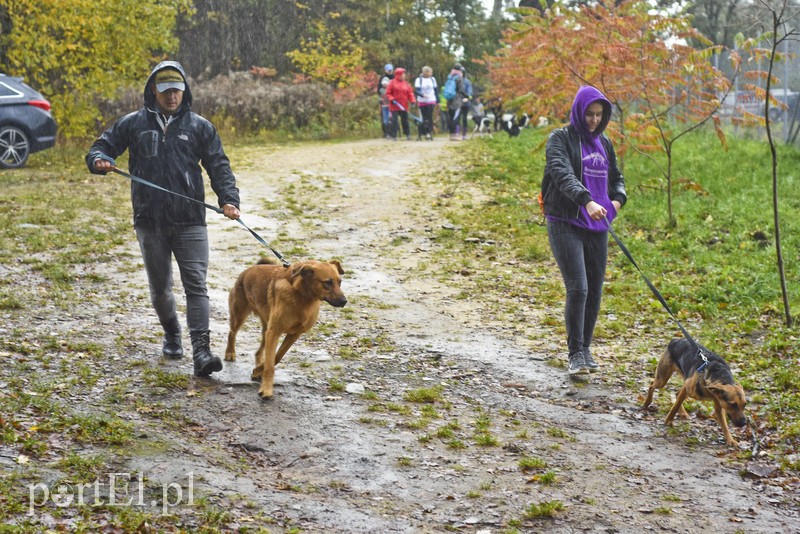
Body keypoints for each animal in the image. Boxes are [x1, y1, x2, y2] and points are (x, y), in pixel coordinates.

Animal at [227, 258, 348, 400]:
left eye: (340, 282)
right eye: (328, 282)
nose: (344, 301)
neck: (302, 296)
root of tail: (249, 270)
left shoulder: (293, 334)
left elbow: (277, 357)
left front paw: (258, 371)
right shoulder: (274, 332)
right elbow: (270, 366)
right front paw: (266, 389)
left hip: (266, 328)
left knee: (259, 350)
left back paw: (258, 363)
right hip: (239, 316)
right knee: (232, 333)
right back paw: (230, 353)